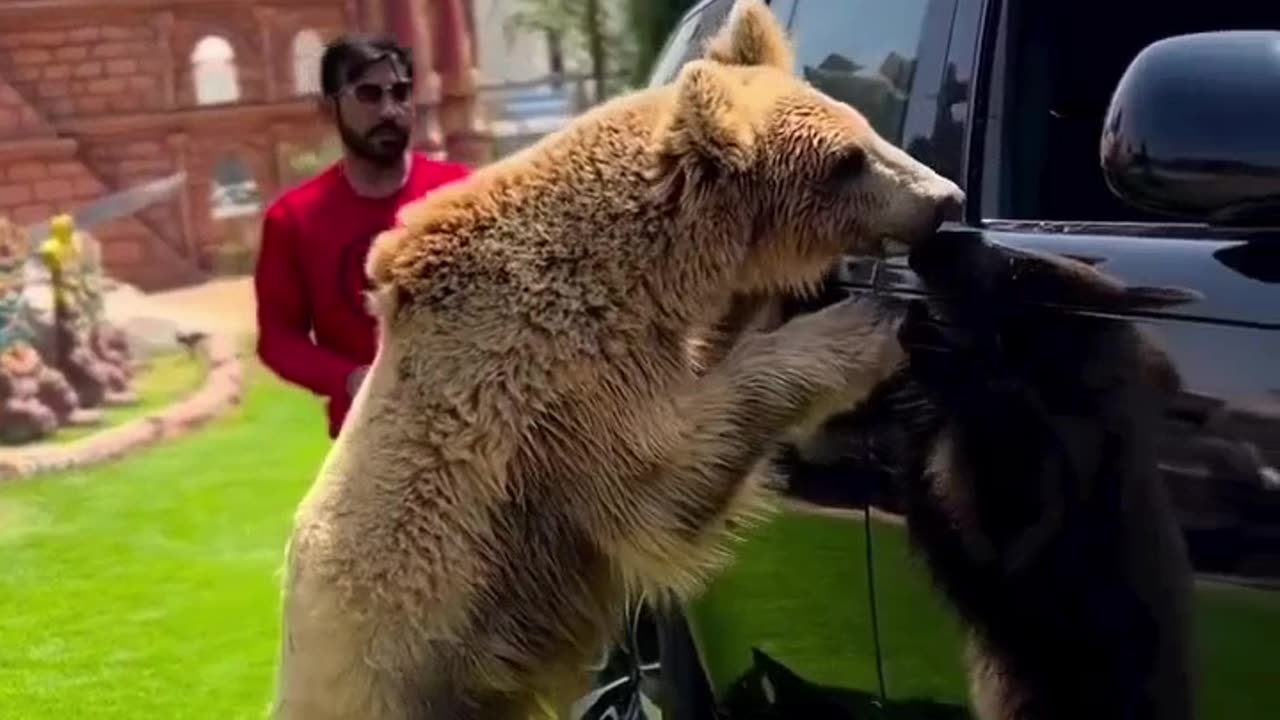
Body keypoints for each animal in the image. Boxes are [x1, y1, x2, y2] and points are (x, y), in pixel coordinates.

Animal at [272, 2, 962, 712]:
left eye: (865, 125)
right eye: (847, 159)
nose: (947, 197)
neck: (633, 269)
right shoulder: (557, 386)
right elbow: (673, 468)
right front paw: (863, 327)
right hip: (400, 661)